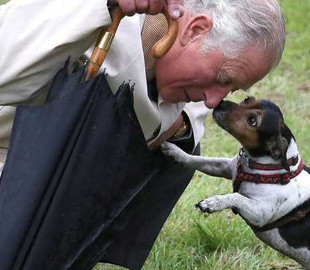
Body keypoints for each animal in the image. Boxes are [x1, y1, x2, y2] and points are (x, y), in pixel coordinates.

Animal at [162, 96, 310, 268]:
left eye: (252, 121)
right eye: (247, 99)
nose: (220, 103)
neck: (266, 167)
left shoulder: (260, 213)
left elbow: (236, 197)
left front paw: (213, 202)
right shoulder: (225, 167)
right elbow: (199, 160)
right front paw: (176, 152)